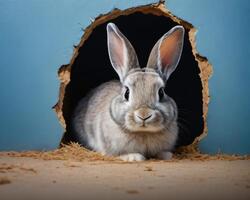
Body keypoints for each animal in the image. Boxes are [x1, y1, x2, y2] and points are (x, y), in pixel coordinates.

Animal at [71, 22, 185, 162]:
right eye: (126, 93)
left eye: (161, 92)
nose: (143, 115)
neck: (144, 132)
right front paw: (134, 157)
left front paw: (167, 155)